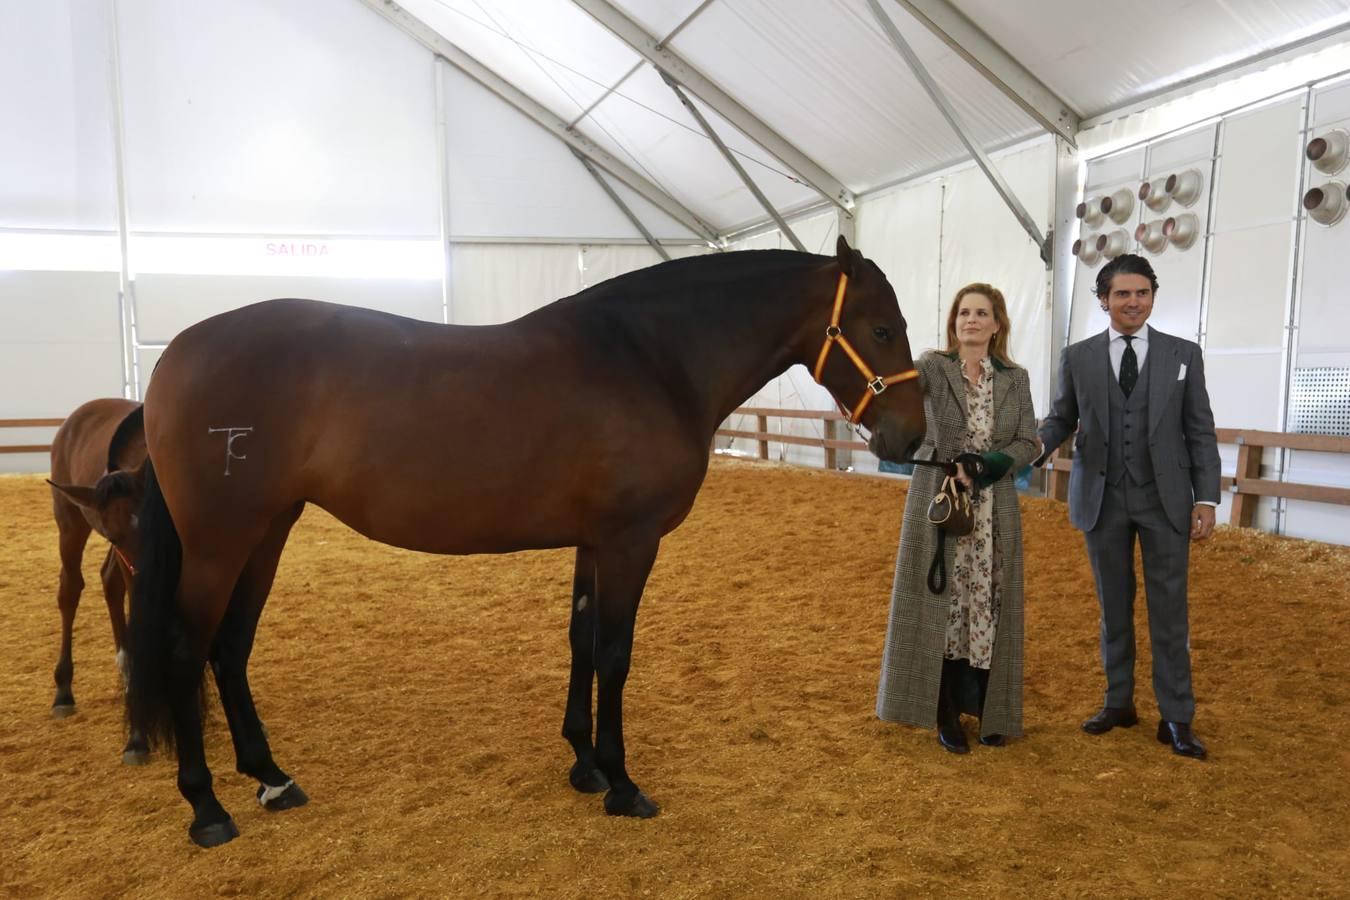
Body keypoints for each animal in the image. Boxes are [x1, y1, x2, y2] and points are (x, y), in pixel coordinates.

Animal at [46, 396, 150, 766]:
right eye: (116, 536)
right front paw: (137, 738)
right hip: (70, 524)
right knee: (70, 590)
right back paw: (63, 691)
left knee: (108, 581)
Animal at [126, 237, 928, 847]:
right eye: (882, 329)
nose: (911, 439)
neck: (650, 359)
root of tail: (173, 358)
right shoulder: (631, 541)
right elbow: (615, 653)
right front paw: (623, 783)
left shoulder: (594, 543)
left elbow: (581, 641)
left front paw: (585, 765)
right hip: (220, 544)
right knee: (185, 653)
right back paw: (206, 809)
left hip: (267, 532)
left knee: (230, 650)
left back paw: (272, 778)